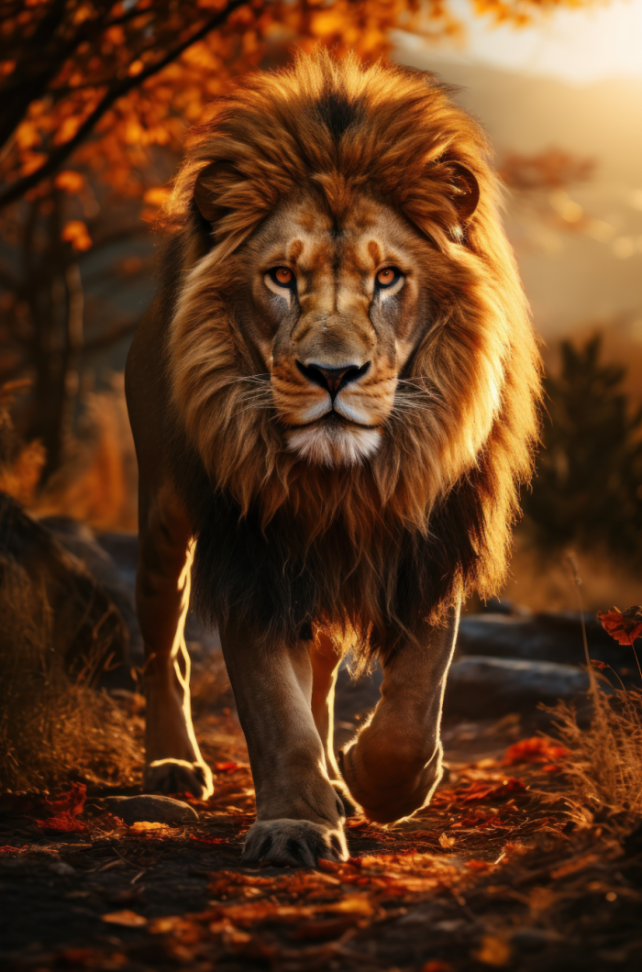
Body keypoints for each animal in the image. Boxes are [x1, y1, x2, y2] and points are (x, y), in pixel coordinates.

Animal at [125, 51, 541, 867]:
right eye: (282, 278)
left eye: (387, 278)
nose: (332, 374)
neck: (346, 483)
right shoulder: (252, 549)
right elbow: (273, 709)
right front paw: (295, 825)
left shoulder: (432, 536)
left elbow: (416, 696)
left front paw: (378, 781)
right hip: (162, 521)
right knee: (167, 649)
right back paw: (174, 764)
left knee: (319, 674)